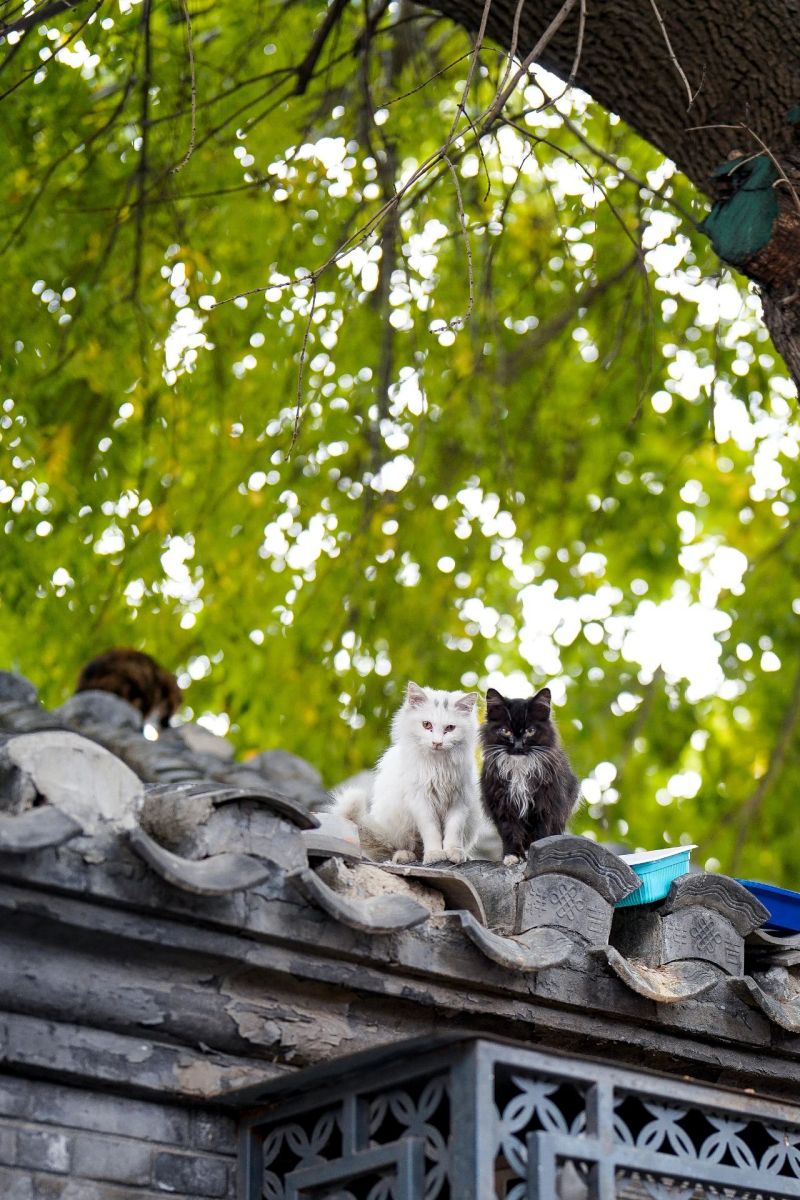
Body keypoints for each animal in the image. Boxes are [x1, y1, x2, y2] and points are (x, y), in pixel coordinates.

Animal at [333, 686, 482, 864]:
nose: (437, 743)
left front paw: (454, 853)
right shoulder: (421, 801)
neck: (438, 766)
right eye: (426, 725)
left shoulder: (459, 801)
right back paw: (405, 856)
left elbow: (454, 831)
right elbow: (431, 832)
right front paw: (434, 854)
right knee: (396, 849)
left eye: (450, 728)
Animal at [479, 686, 578, 864]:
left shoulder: (545, 804)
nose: (518, 746)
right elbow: (510, 832)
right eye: (505, 731)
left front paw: (538, 851)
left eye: (530, 731)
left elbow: (541, 833)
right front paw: (512, 856)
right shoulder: (502, 805)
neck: (519, 768)